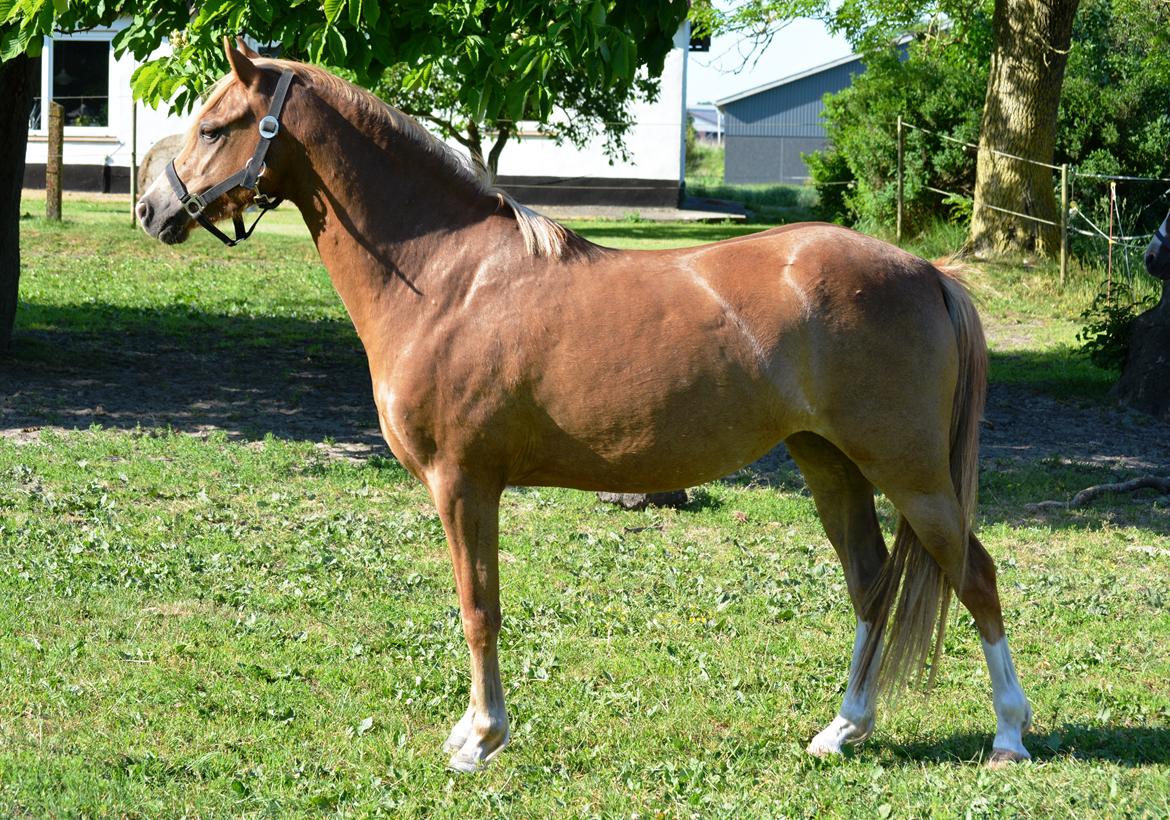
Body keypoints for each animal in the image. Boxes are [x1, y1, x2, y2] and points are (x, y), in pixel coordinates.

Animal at [136, 39, 1032, 772]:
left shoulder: (463, 483)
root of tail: (926, 273)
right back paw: (843, 729)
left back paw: (1009, 736)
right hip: (830, 463)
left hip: (910, 471)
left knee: (975, 576)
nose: (153, 209)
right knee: (872, 584)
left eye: (217, 128)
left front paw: (480, 739)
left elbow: (480, 608)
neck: (447, 276)